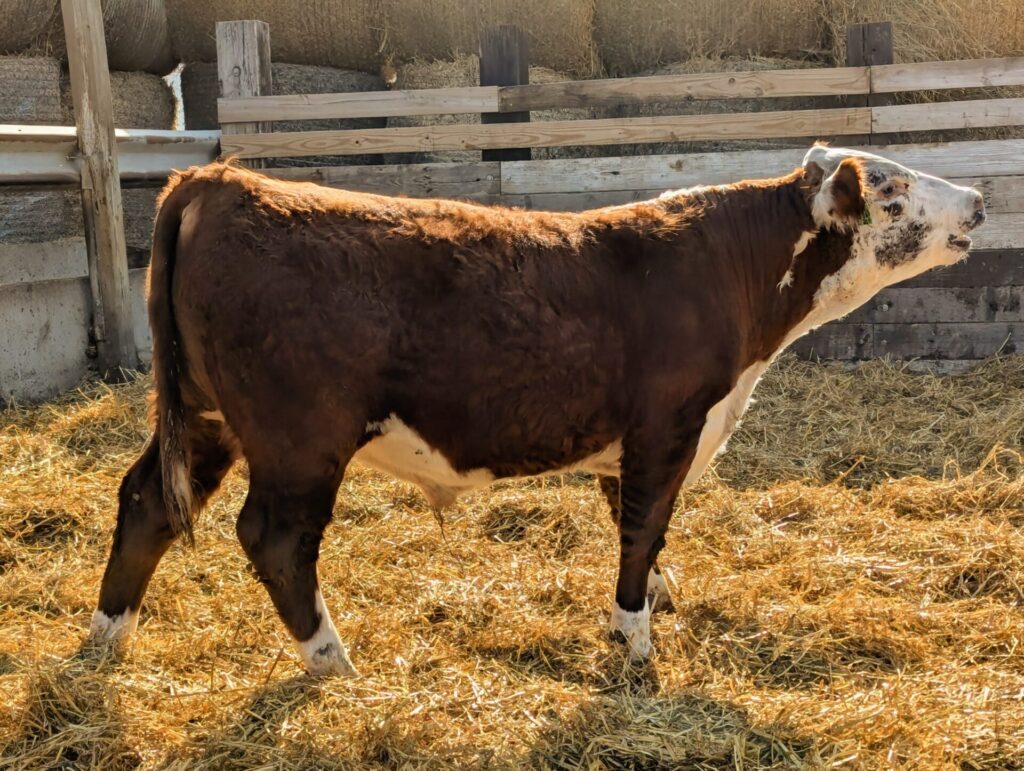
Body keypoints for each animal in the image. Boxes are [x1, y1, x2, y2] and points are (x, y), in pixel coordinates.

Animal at [88, 144, 986, 676]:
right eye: (895, 192)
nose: (978, 198)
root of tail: (222, 181)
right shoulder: (667, 425)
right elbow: (642, 529)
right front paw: (634, 639)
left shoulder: (633, 443)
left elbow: (644, 528)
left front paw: (660, 601)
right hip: (299, 435)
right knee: (273, 538)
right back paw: (333, 660)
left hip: (209, 418)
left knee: (146, 501)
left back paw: (106, 638)